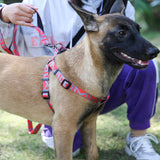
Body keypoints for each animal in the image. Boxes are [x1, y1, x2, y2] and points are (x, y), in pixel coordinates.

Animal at [0, 1, 159, 160]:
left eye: (139, 29)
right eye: (121, 33)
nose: (155, 51)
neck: (85, 69)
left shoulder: (89, 123)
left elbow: (93, 153)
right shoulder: (64, 130)